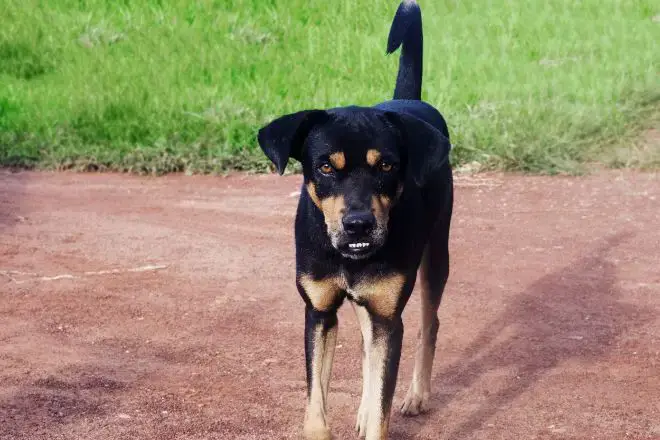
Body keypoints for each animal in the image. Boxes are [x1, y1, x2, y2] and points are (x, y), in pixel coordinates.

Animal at [255, 1, 452, 438]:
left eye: (388, 166)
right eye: (326, 166)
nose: (358, 224)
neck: (348, 256)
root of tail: (408, 101)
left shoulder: (388, 317)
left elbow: (383, 402)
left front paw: (379, 412)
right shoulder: (319, 312)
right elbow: (316, 404)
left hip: (437, 253)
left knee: (429, 324)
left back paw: (416, 396)